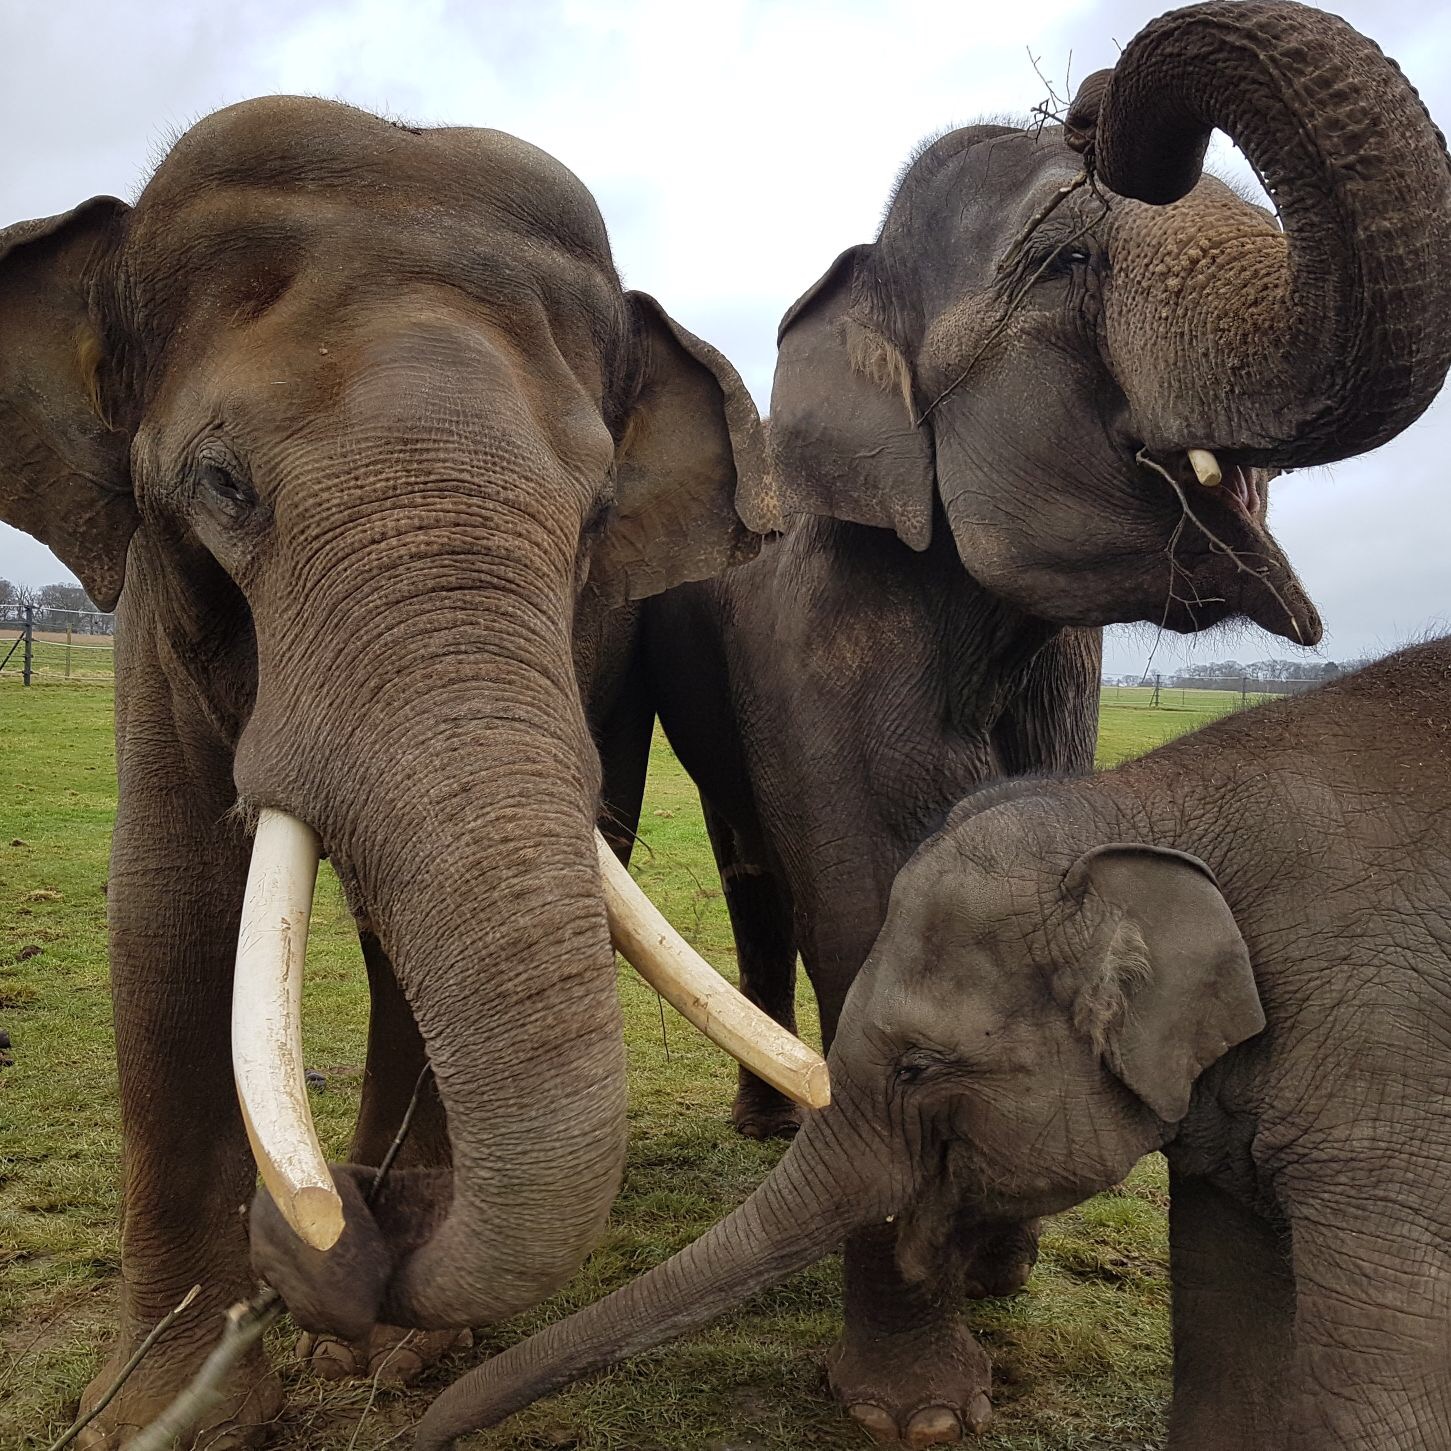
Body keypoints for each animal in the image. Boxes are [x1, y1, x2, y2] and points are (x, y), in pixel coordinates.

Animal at [0, 96, 818, 1445]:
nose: (350, 1216)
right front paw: (165, 1416)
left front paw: (395, 1361)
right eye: (221, 484)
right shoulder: (149, 599)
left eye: (595, 515)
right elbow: (170, 912)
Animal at [609, 5, 1451, 1445]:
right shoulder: (814, 639)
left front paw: (999, 1267)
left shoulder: (1064, 672)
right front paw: (915, 1408)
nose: (1099, 96)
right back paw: (767, 1131)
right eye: (1061, 261)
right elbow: (862, 910)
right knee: (751, 863)